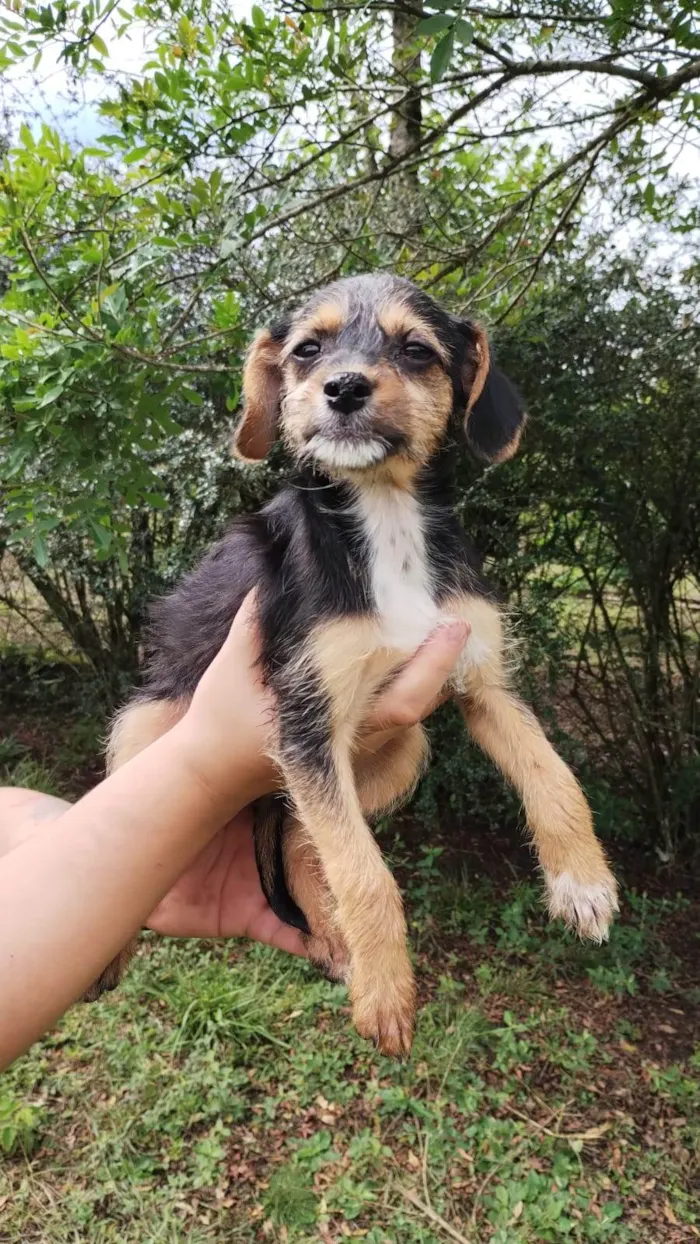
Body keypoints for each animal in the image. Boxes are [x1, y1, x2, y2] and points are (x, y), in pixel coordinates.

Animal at [83, 277, 619, 1054]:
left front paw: (583, 882)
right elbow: (368, 874)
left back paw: (335, 939)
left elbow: (553, 774)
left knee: (302, 833)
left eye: (416, 350)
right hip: (145, 725)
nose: (342, 387)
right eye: (308, 350)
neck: (386, 515)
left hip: (405, 747)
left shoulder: (482, 681)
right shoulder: (306, 719)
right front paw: (388, 995)